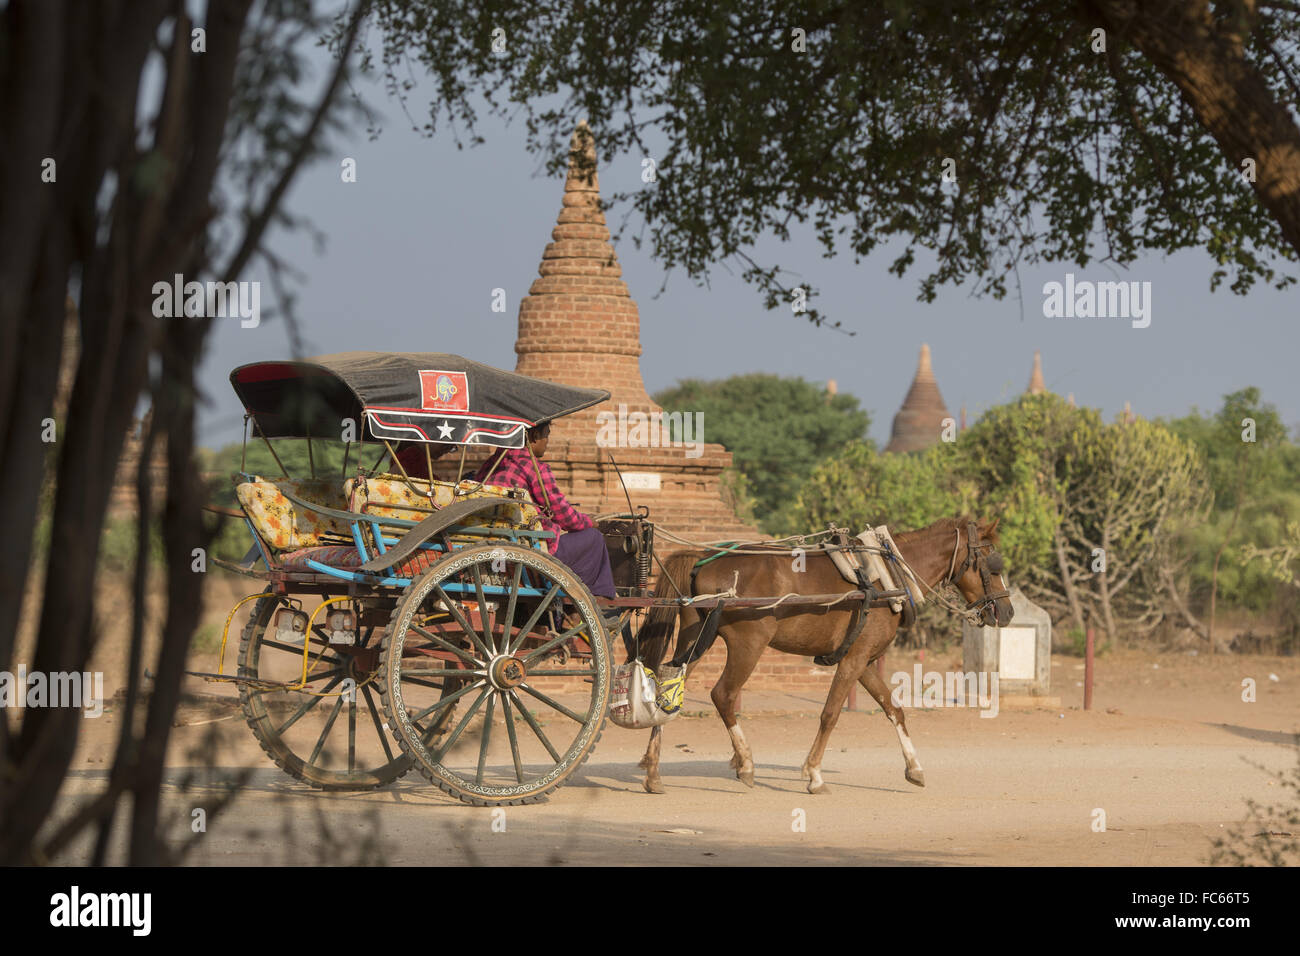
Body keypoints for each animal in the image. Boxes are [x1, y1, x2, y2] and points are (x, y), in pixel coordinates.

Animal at [634, 520, 1008, 796]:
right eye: (992, 561)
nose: (1006, 611)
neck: (887, 575)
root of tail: (703, 557)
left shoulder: (864, 661)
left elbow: (894, 709)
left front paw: (914, 768)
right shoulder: (853, 660)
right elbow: (830, 714)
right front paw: (814, 774)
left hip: (696, 637)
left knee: (669, 686)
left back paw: (653, 770)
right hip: (748, 644)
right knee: (723, 695)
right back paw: (746, 763)